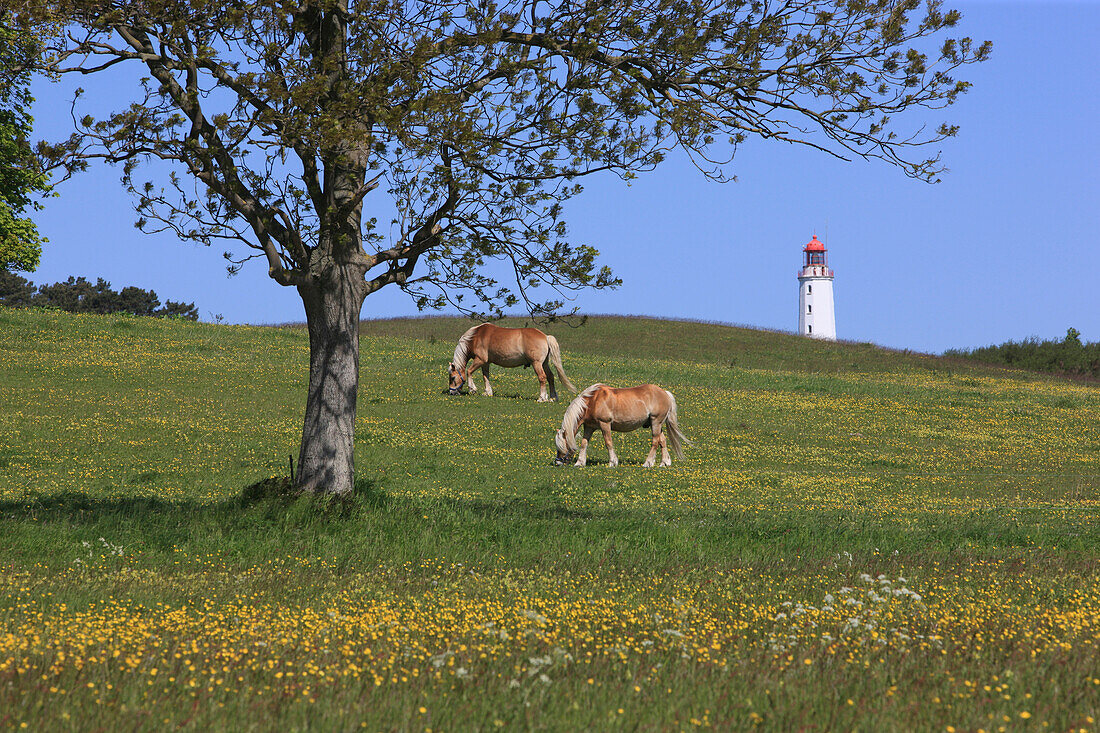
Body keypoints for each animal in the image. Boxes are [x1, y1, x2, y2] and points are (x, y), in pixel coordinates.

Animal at [448, 321, 580, 400]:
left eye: (453, 378)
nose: (452, 392)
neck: (476, 336)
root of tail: (545, 336)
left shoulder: (480, 360)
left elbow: (469, 371)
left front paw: (472, 389)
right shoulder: (485, 363)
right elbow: (486, 376)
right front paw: (488, 392)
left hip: (537, 364)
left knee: (542, 377)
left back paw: (542, 398)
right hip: (544, 364)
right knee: (551, 377)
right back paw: (552, 397)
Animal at [558, 378, 686, 464]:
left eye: (562, 446)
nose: (557, 462)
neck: (593, 400)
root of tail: (665, 393)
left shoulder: (605, 424)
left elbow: (608, 443)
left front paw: (612, 462)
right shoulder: (589, 427)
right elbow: (584, 443)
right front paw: (580, 463)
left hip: (655, 422)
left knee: (655, 442)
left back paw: (647, 463)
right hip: (657, 424)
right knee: (662, 441)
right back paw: (664, 463)